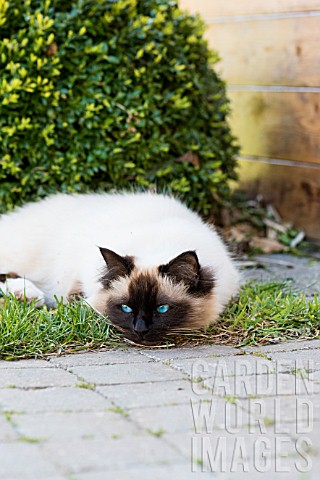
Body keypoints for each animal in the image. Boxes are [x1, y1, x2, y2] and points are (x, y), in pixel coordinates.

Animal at [0, 191, 239, 344]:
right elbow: (76, 299)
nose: (140, 330)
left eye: (162, 309)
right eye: (126, 308)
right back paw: (27, 295)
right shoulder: (79, 277)